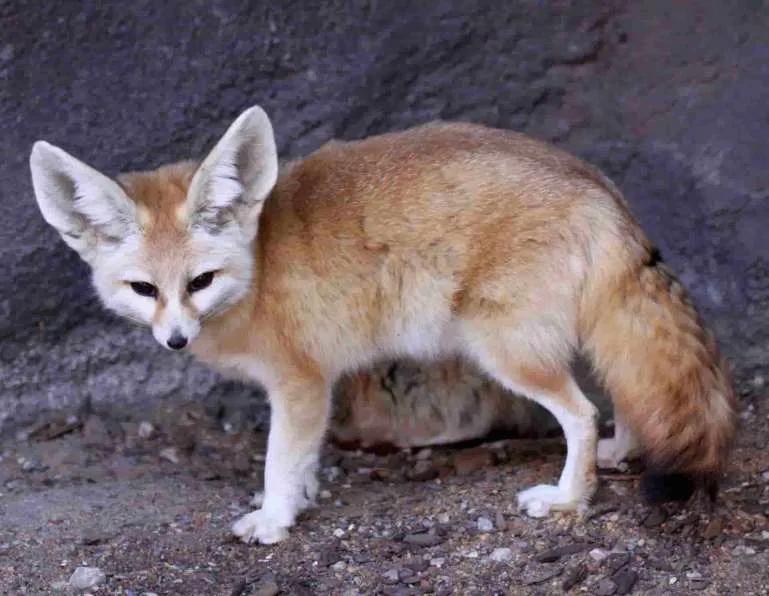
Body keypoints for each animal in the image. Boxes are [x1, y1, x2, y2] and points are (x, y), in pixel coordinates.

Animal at [29, 105, 736, 544]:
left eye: (199, 283)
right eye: (145, 290)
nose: (176, 340)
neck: (259, 268)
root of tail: (596, 185)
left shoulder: (302, 384)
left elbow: (278, 461)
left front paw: (275, 519)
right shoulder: (309, 389)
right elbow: (303, 460)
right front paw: (302, 499)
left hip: (506, 351)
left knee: (582, 413)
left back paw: (568, 498)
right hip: (568, 337)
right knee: (622, 389)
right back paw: (623, 449)